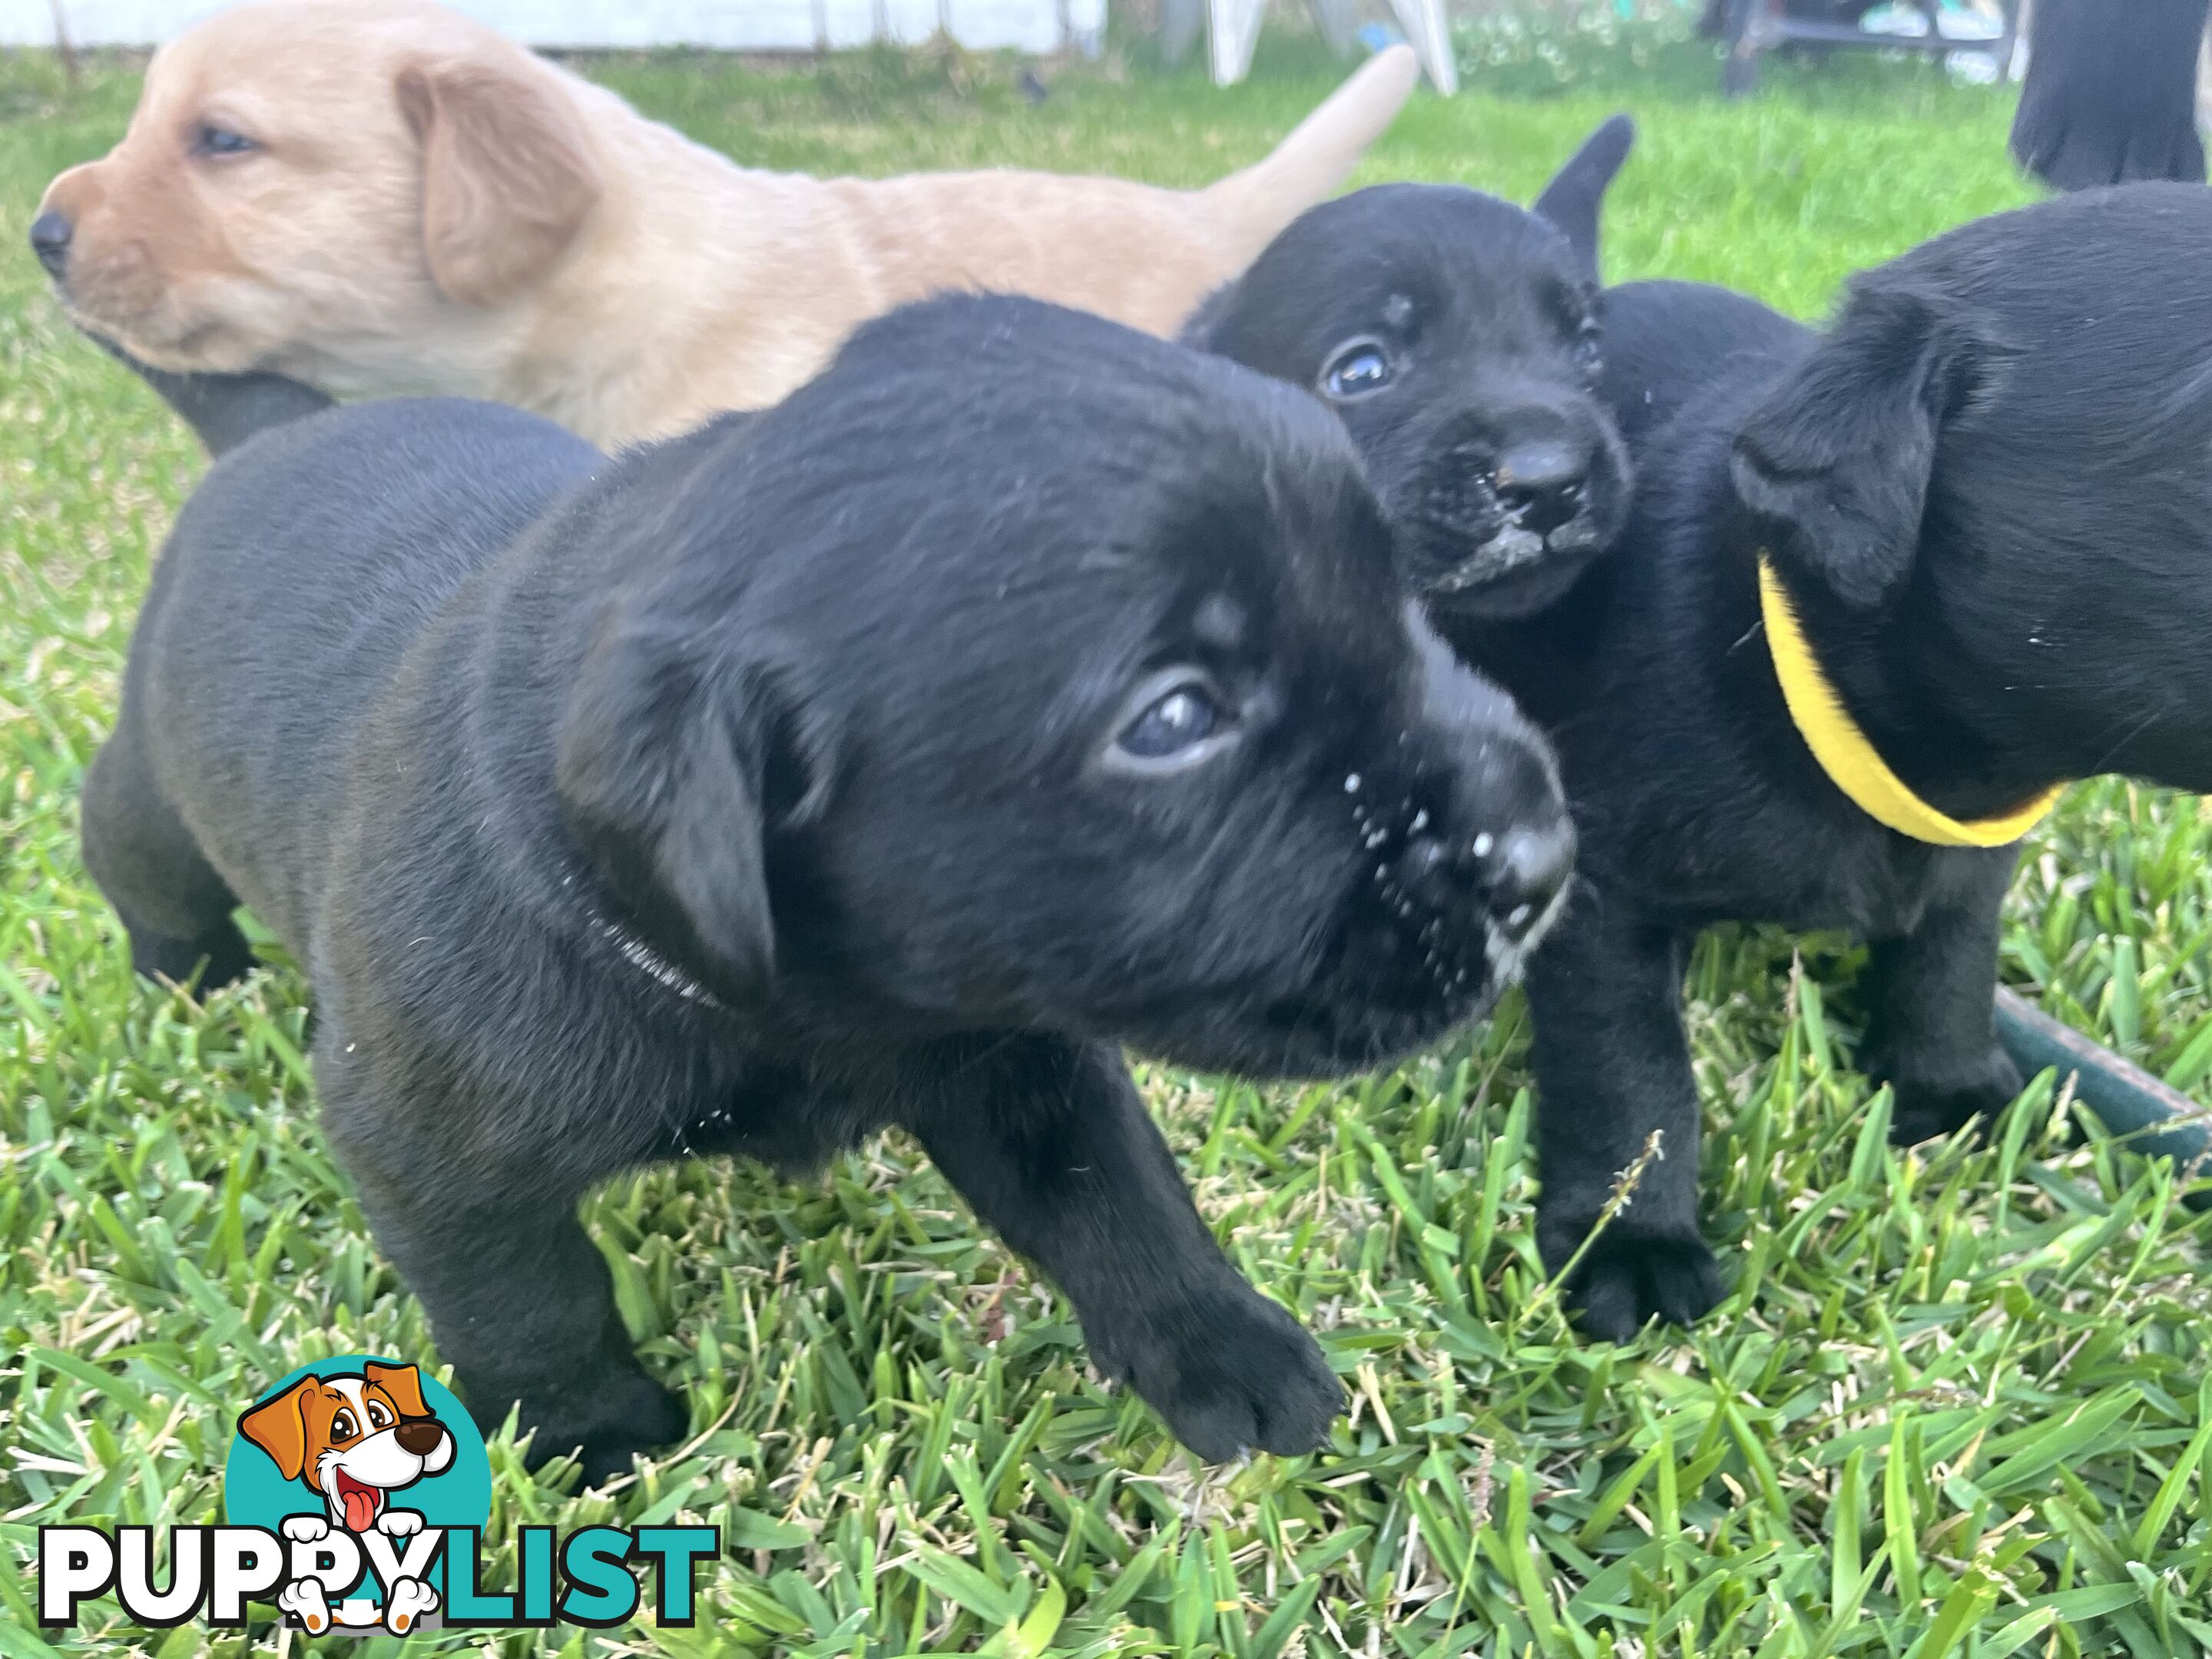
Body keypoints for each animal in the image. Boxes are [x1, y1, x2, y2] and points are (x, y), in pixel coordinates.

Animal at [81, 292, 1575, 1477]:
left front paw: (1220, 1347)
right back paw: (185, 973)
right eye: (1171, 721)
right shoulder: (429, 1148)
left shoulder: (1014, 1051)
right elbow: (528, 1299)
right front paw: (589, 1436)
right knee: (134, 854)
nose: (1543, 859)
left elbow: (1120, 1196)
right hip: (153, 792)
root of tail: (270, 434)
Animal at [1203, 169, 2212, 1336]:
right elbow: (1636, 1074)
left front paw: (1953, 1090)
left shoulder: (1971, 855)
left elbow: (1949, 961)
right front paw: (1632, 1241)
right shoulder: (1603, 901)